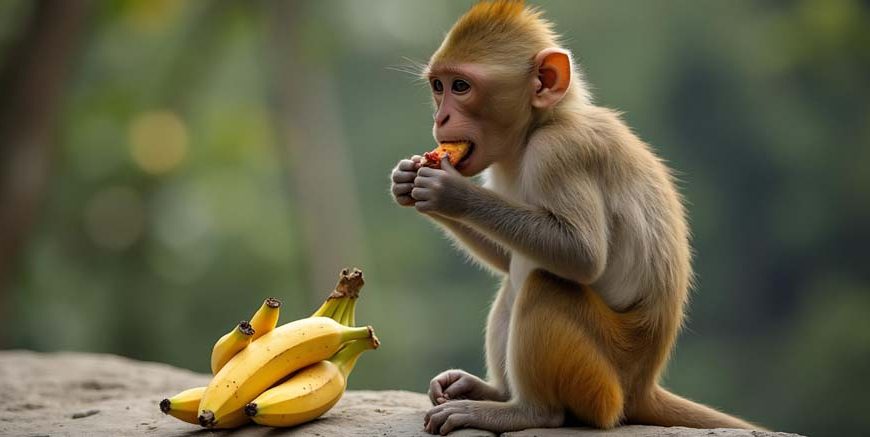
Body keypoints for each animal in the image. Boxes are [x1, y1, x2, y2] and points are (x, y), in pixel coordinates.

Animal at [389, 1, 764, 435]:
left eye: (461, 87)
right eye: (439, 86)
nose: (441, 119)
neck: (539, 126)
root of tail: (641, 387)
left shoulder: (560, 152)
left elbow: (580, 255)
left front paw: (448, 193)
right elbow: (507, 257)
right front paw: (406, 179)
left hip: (598, 383)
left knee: (543, 285)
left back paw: (525, 411)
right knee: (514, 280)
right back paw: (493, 392)